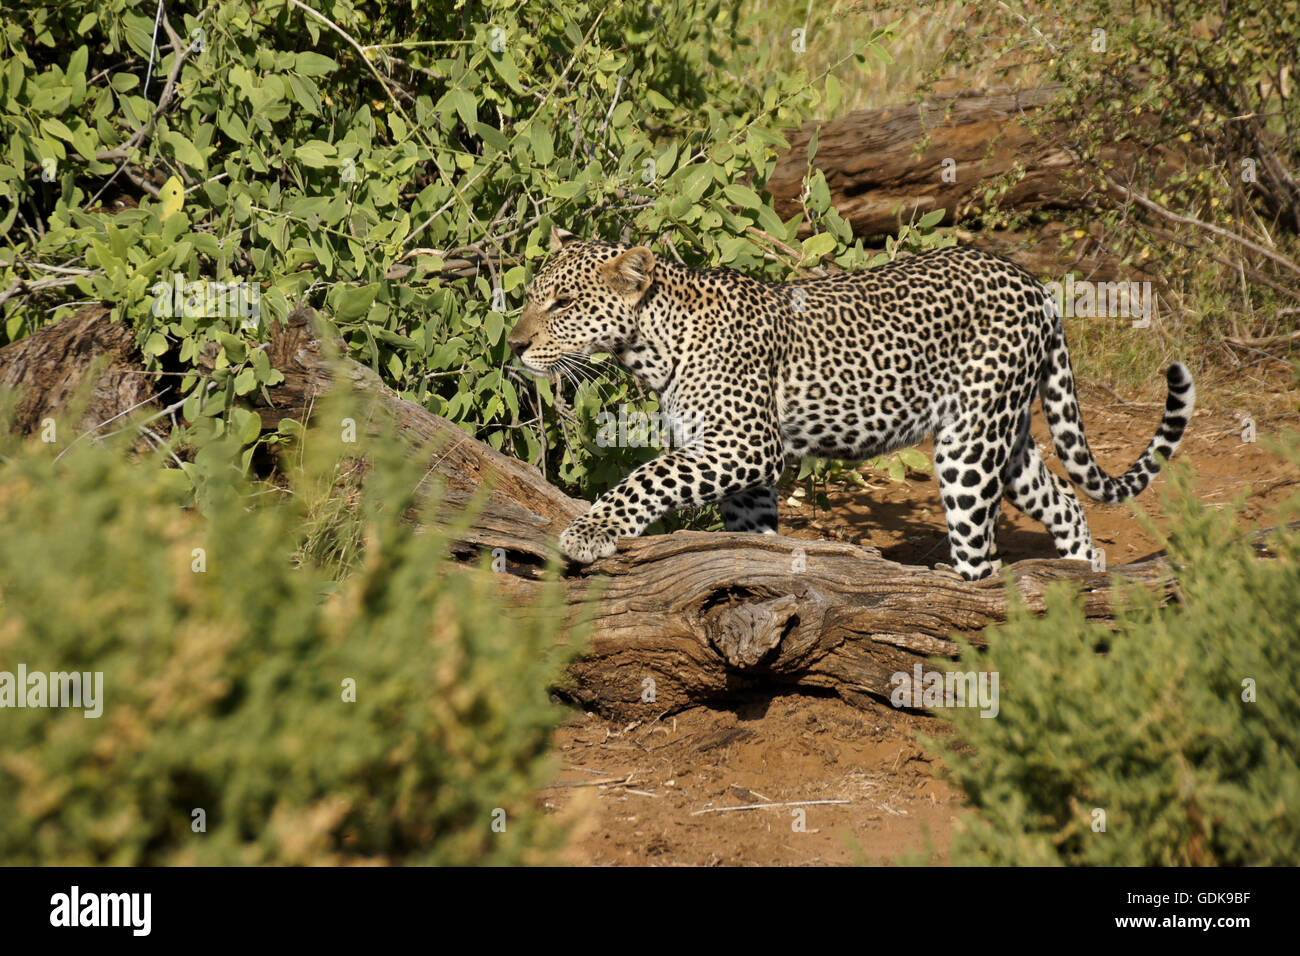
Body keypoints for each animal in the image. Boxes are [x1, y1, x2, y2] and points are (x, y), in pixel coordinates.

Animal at [509, 227, 1196, 580]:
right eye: (535, 296)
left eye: (564, 304)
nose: (513, 345)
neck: (653, 345)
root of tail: (1034, 283)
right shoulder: (740, 468)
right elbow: (748, 531)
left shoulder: (746, 445)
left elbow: (647, 476)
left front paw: (590, 531)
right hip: (1003, 436)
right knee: (1062, 498)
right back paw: (1085, 572)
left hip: (968, 450)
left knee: (983, 555)